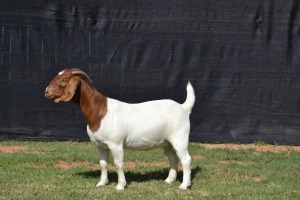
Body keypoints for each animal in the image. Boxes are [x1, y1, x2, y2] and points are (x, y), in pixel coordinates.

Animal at [44, 69, 195, 191]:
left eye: (64, 80)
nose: (46, 91)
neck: (100, 111)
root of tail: (183, 108)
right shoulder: (101, 145)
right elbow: (103, 164)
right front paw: (102, 183)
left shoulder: (115, 144)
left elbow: (118, 164)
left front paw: (120, 186)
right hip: (167, 141)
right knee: (173, 158)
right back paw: (169, 180)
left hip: (180, 137)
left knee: (186, 159)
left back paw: (184, 185)